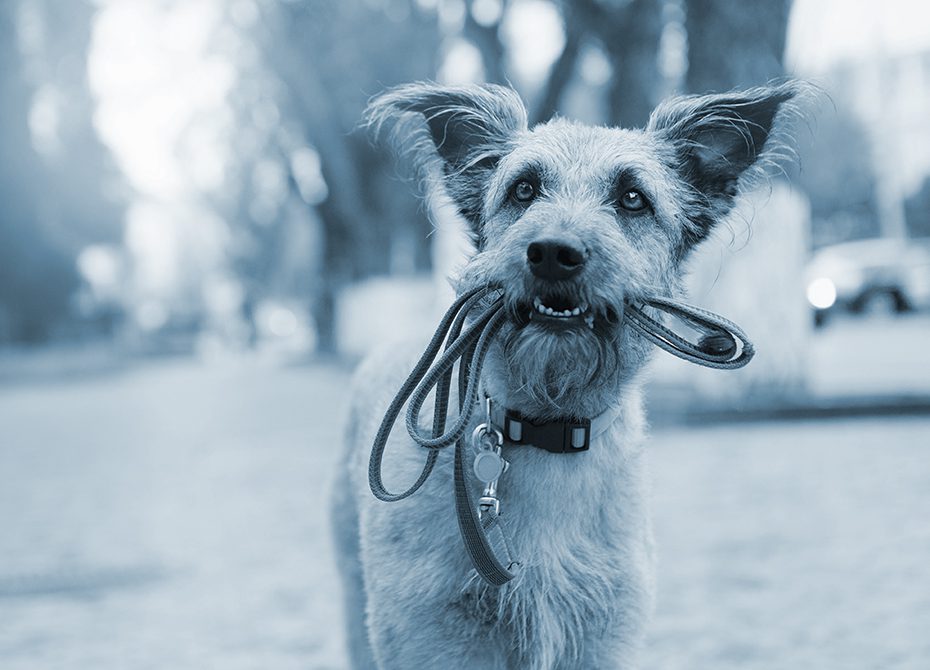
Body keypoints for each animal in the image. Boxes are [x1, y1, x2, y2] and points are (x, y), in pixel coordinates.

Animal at [330, 81, 800, 668]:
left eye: (632, 198)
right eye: (524, 189)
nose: (553, 252)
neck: (545, 427)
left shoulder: (601, 638)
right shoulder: (432, 638)